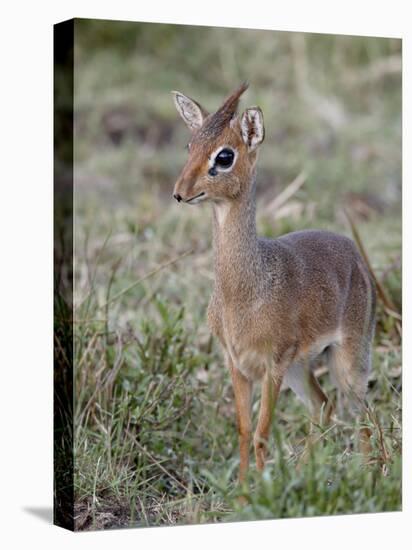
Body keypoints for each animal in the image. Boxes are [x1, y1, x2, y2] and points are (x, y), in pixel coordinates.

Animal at [171, 82, 376, 484]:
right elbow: (244, 430)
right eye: (190, 145)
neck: (243, 293)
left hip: (348, 359)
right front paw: (243, 488)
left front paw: (262, 489)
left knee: (364, 413)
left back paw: (366, 473)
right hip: (302, 368)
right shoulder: (237, 364)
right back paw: (302, 472)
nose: (180, 192)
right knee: (324, 406)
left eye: (224, 155)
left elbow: (263, 433)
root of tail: (354, 252)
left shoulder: (273, 365)